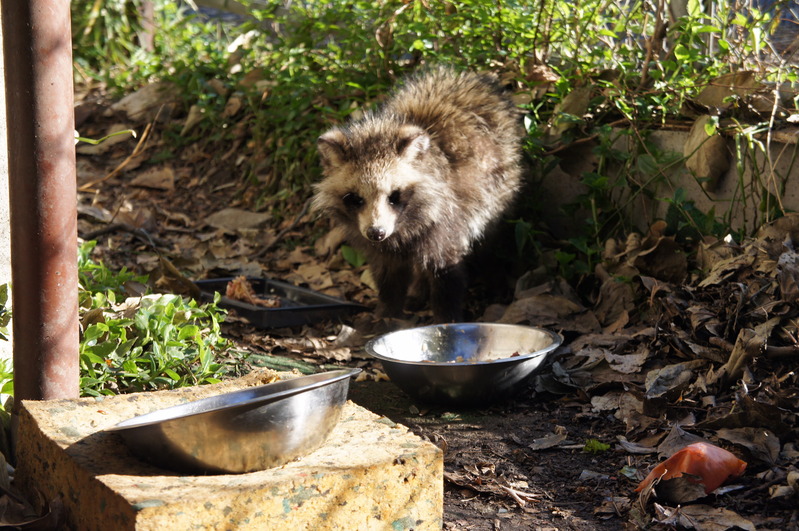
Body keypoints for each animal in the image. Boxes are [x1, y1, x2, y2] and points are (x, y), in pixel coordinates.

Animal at [312, 68, 524, 322]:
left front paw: (446, 319)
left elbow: (446, 272)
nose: (376, 232)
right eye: (355, 198)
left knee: (489, 237)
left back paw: (494, 275)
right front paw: (385, 314)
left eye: (394, 195)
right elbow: (388, 275)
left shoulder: (449, 218)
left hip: (500, 185)